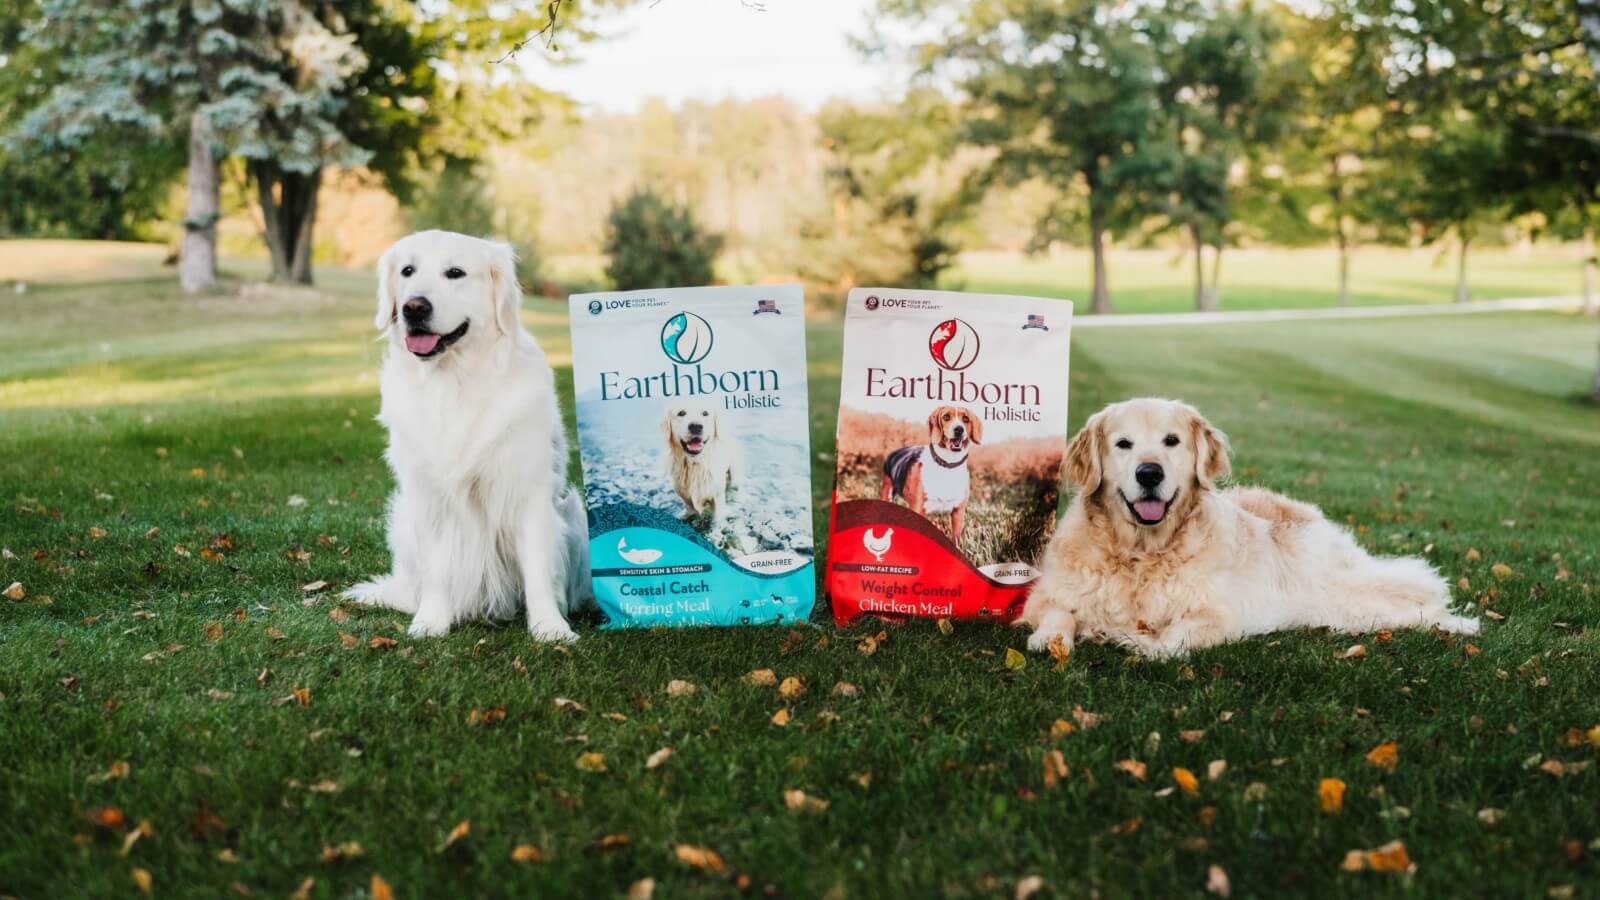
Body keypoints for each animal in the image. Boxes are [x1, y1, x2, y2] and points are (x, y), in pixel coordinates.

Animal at [344, 227, 588, 640]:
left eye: (455, 273)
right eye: (407, 270)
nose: (413, 308)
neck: (455, 381)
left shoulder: (527, 491)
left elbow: (538, 570)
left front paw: (550, 628)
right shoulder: (430, 497)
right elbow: (437, 570)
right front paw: (431, 622)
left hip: (575, 513)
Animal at [883, 405, 979, 538]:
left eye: (965, 419)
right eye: (946, 417)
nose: (959, 430)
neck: (948, 466)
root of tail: (894, 453)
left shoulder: (958, 513)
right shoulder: (918, 509)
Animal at [1017, 395, 1478, 656]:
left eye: (1172, 441)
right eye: (1123, 444)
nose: (1149, 473)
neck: (1141, 553)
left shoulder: (1220, 616)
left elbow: (1168, 645)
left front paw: (1123, 637)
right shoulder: (1047, 594)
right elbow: (1057, 613)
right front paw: (1054, 637)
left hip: (1340, 595)